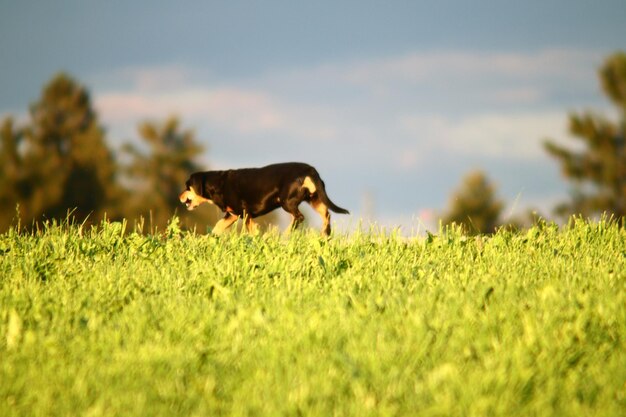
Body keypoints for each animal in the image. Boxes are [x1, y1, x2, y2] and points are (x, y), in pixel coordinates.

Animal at [178, 162, 348, 234]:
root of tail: (310, 170)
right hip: (315, 199)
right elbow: (217, 227)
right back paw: (325, 235)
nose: (180, 197)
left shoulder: (245, 213)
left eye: (187, 186)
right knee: (327, 216)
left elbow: (252, 231)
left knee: (299, 217)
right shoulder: (232, 215)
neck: (219, 184)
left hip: (287, 201)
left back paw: (286, 235)